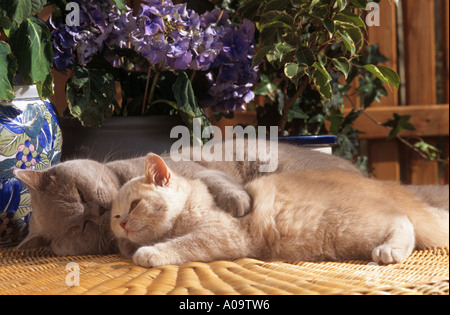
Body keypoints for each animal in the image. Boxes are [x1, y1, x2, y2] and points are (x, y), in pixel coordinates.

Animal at [110, 154, 448, 268]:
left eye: (135, 204)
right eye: (115, 215)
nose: (122, 223)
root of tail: (383, 186)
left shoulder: (224, 234)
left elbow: (183, 244)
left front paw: (149, 252)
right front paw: (131, 247)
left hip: (348, 228)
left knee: (404, 223)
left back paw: (390, 250)